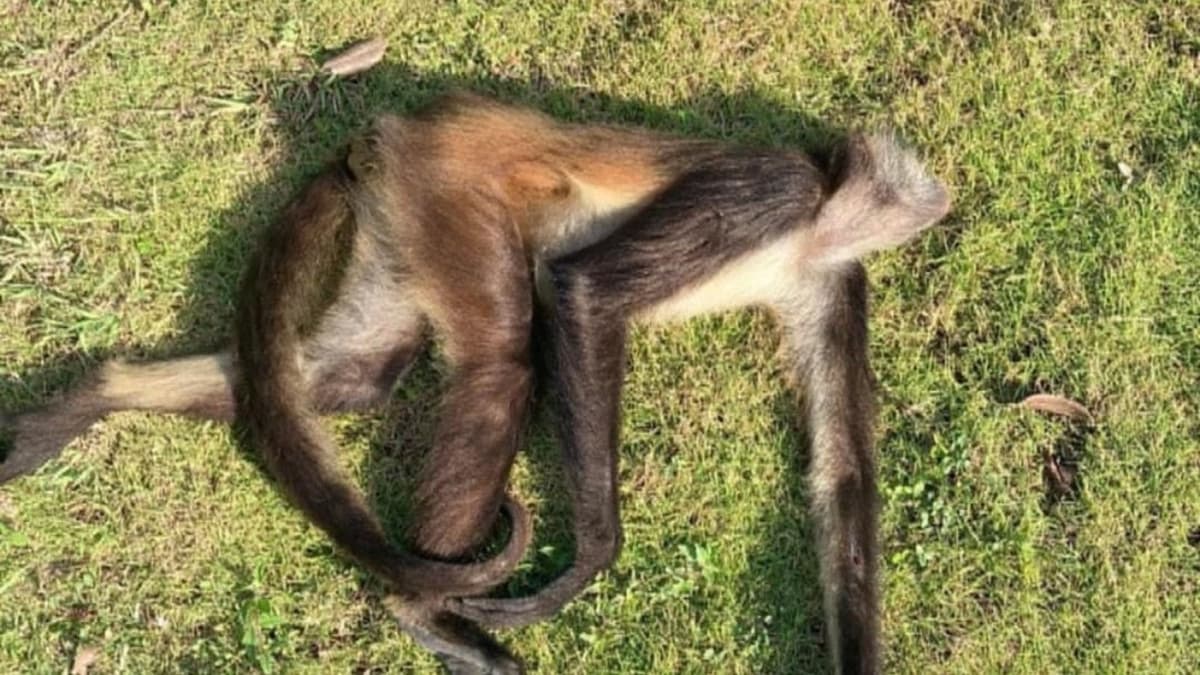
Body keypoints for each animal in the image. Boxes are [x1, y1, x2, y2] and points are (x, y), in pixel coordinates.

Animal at [0, 92, 949, 674]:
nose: (935, 201)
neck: (815, 224)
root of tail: (401, 129)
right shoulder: (774, 190)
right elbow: (583, 291)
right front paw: (586, 560)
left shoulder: (830, 277)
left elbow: (842, 478)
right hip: (450, 194)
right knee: (500, 357)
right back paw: (422, 608)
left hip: (399, 228)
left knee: (348, 377)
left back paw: (95, 392)